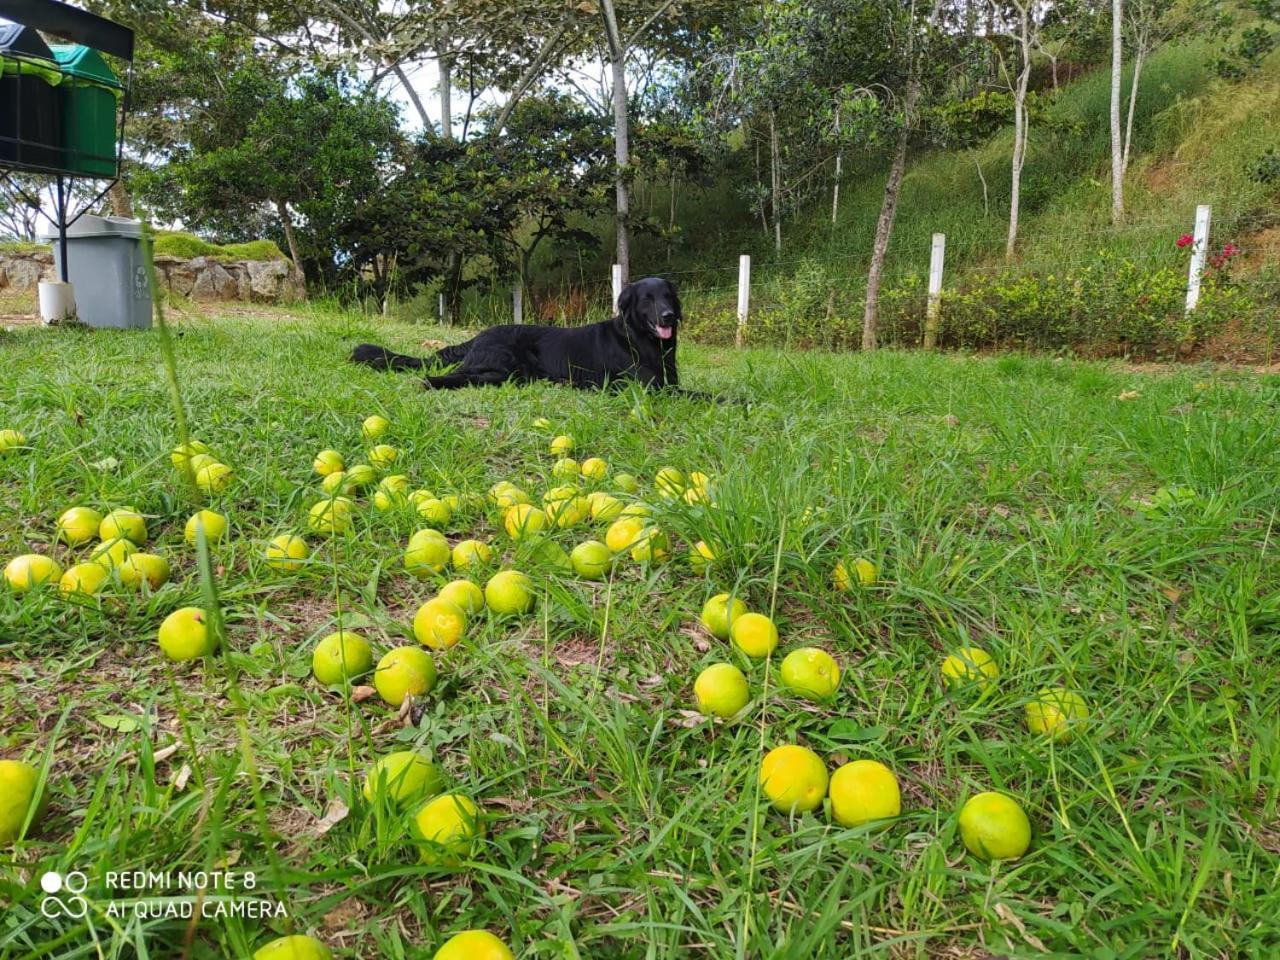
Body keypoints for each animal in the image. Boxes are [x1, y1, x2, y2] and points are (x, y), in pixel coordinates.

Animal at [350, 276, 686, 389]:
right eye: (647, 299)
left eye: (668, 296)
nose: (668, 316)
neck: (640, 340)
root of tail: (478, 336)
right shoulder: (651, 388)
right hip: (507, 365)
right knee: (461, 375)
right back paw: (431, 381)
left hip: (513, 373)